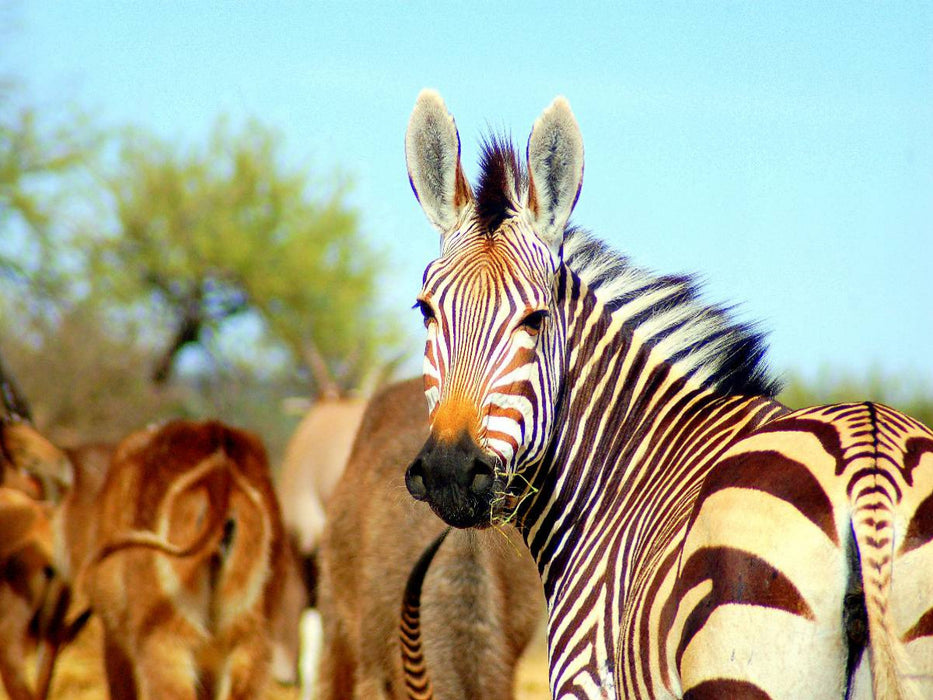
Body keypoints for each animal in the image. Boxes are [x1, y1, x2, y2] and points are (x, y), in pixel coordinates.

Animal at [401, 89, 933, 699]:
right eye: (425, 310)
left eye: (536, 319)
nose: (449, 471)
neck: (619, 476)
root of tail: (870, 463)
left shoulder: (585, 680)